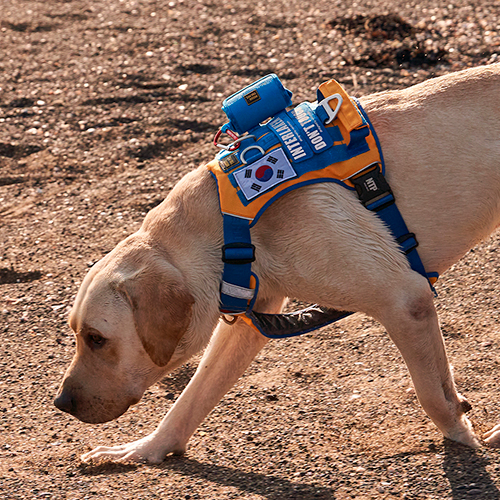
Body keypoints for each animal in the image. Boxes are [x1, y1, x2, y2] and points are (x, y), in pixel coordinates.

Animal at [54, 64, 500, 464]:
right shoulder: (252, 317)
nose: (61, 403)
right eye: (76, 333)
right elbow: (193, 395)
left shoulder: (405, 301)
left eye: (96, 338)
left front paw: (462, 433)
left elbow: (433, 395)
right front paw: (148, 447)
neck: (228, 224)